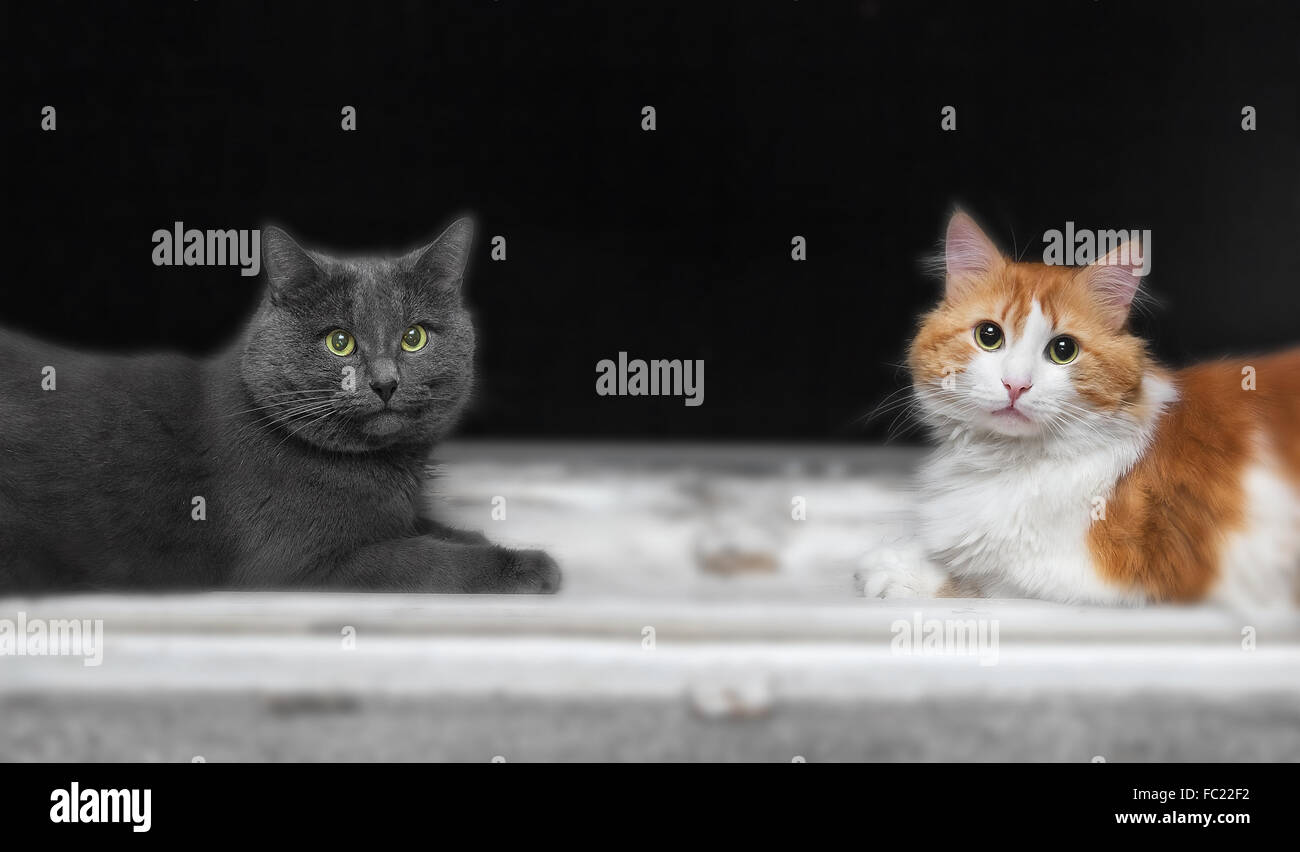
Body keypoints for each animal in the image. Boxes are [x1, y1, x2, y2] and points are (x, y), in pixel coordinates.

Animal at [0, 219, 559, 593]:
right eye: (339, 342)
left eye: (414, 337)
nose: (385, 382)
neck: (380, 470)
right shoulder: (301, 565)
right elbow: (422, 559)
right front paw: (526, 566)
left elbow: (429, 530)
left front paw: (477, 538)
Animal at [857, 212, 1294, 606]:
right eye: (989, 336)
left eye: (1063, 350)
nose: (1016, 385)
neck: (1008, 462)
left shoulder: (1116, 578)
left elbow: (980, 577)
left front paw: (900, 569)